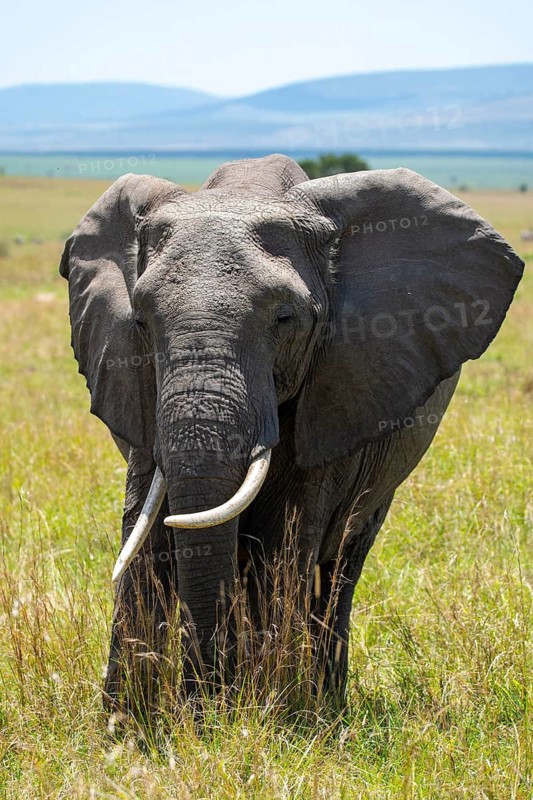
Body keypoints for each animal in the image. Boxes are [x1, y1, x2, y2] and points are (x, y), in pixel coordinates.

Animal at [59, 154, 523, 712]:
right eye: (142, 322)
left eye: (286, 318)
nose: (206, 702)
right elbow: (146, 529)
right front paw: (128, 723)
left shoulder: (342, 385)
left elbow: (283, 540)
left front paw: (272, 710)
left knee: (341, 563)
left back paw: (325, 702)